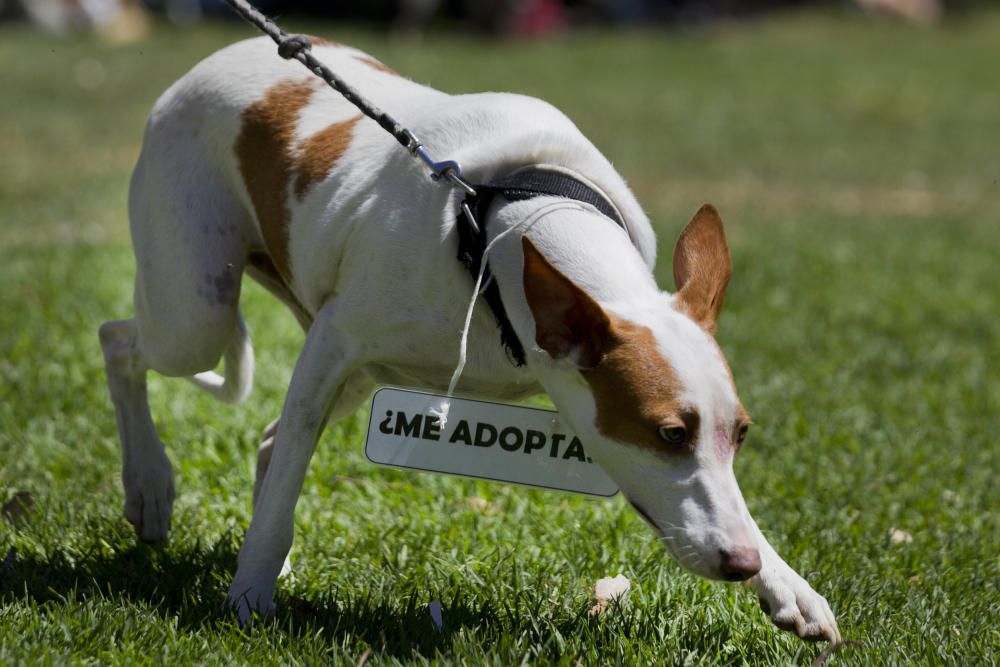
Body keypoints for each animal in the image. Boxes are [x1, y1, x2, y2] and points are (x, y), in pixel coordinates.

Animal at [97, 35, 840, 640]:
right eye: (668, 433)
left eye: (740, 433)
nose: (741, 563)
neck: (512, 221)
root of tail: (219, 55)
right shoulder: (334, 343)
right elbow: (282, 492)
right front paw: (249, 590)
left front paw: (786, 582)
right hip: (196, 311)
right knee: (121, 341)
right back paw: (151, 484)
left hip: (342, 370)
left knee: (271, 441)